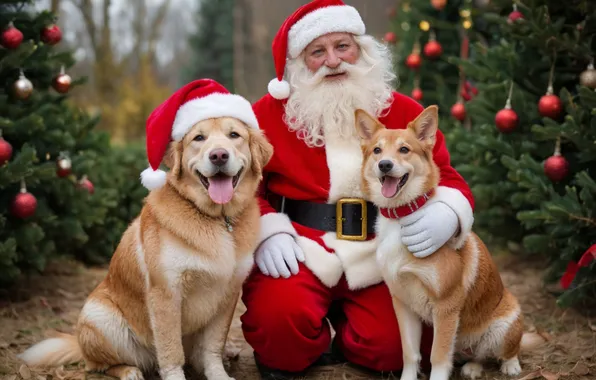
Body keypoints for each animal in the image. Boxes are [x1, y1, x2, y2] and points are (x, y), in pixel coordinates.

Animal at [16, 116, 272, 380]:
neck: (218, 219)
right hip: (101, 318)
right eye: (198, 138)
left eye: (234, 135)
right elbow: (171, 351)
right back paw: (129, 371)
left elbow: (212, 347)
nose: (219, 155)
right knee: (100, 364)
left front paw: (218, 373)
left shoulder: (227, 295)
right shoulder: (166, 293)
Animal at [354, 106, 544, 380]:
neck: (402, 217)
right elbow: (410, 354)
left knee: (507, 350)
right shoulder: (403, 303)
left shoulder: (446, 307)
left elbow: (439, 357)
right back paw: (472, 368)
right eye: (377, 150)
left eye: (404, 149)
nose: (385, 165)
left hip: (506, 323)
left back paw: (511, 366)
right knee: (478, 356)